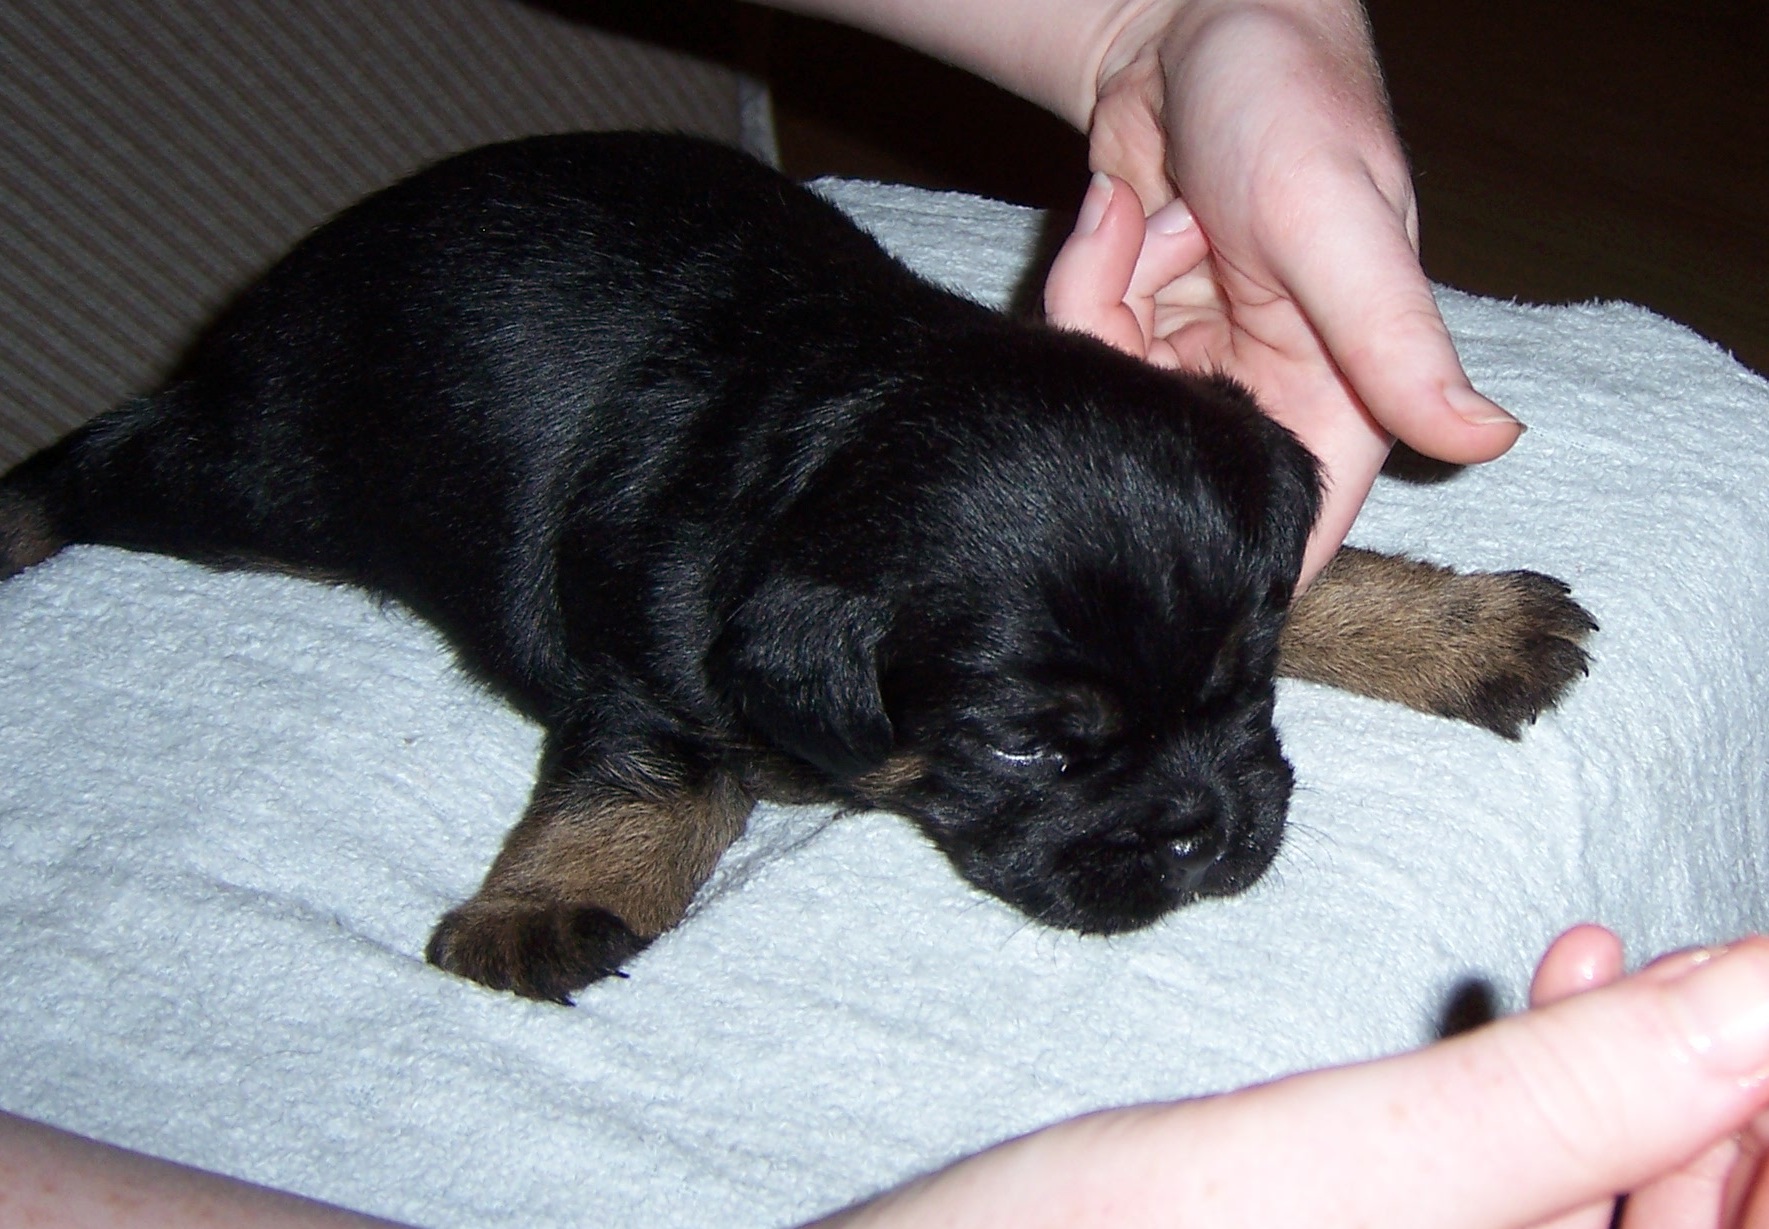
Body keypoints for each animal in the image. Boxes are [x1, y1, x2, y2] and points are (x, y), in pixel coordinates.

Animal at [0, 129, 1599, 1004]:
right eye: (1028, 751)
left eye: (1242, 685)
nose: (1205, 833)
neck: (835, 421)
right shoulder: (654, 668)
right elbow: (646, 782)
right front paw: (544, 907)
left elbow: (1311, 565)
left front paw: (1452, 626)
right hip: (251, 465)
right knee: (100, 461)